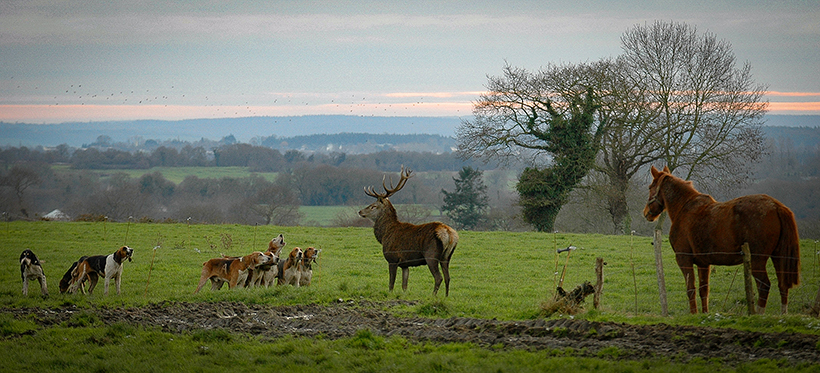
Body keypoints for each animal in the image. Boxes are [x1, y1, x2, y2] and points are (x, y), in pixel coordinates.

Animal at [644, 166, 796, 314]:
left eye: (651, 187)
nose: (646, 213)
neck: (684, 208)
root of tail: (776, 206)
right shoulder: (703, 263)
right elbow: (704, 290)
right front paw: (704, 314)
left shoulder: (683, 258)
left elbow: (691, 289)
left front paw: (693, 314)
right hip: (778, 257)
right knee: (783, 285)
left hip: (757, 261)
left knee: (764, 285)